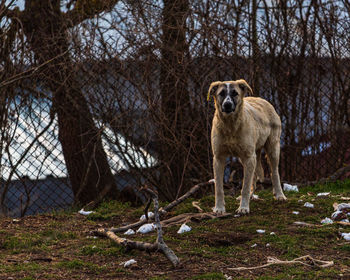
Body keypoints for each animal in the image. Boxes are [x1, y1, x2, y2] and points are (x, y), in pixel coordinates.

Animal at [206, 79, 286, 214]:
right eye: (221, 93)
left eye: (235, 93)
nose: (227, 105)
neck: (230, 126)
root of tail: (263, 100)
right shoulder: (218, 158)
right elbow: (219, 188)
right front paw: (219, 208)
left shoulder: (249, 156)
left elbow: (245, 186)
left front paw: (243, 208)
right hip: (246, 158)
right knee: (254, 175)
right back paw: (251, 195)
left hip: (272, 149)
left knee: (274, 172)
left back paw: (280, 195)